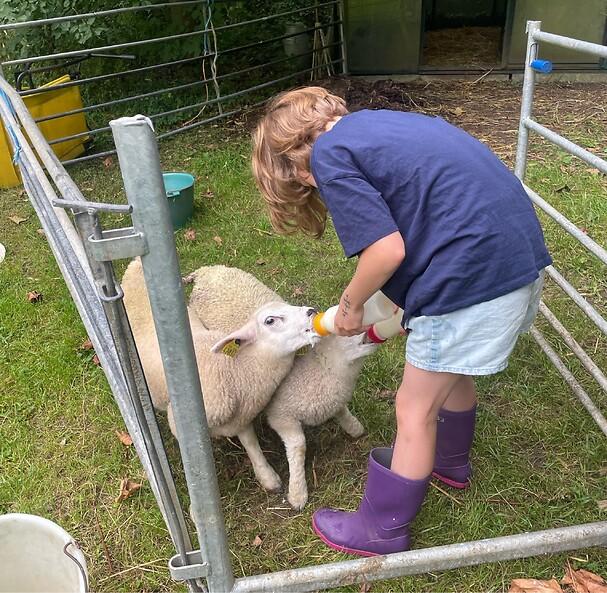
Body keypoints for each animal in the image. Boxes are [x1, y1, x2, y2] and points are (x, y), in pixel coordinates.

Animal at [121, 258, 320, 492]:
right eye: (270, 321)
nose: (312, 311)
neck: (234, 371)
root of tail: (134, 264)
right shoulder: (181, 426)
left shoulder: (242, 417)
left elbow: (251, 443)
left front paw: (266, 476)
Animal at [187, 265, 379, 509]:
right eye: (346, 332)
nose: (370, 330)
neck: (318, 372)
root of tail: (207, 270)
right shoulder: (281, 414)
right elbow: (298, 445)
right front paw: (297, 493)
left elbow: (342, 411)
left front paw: (355, 428)